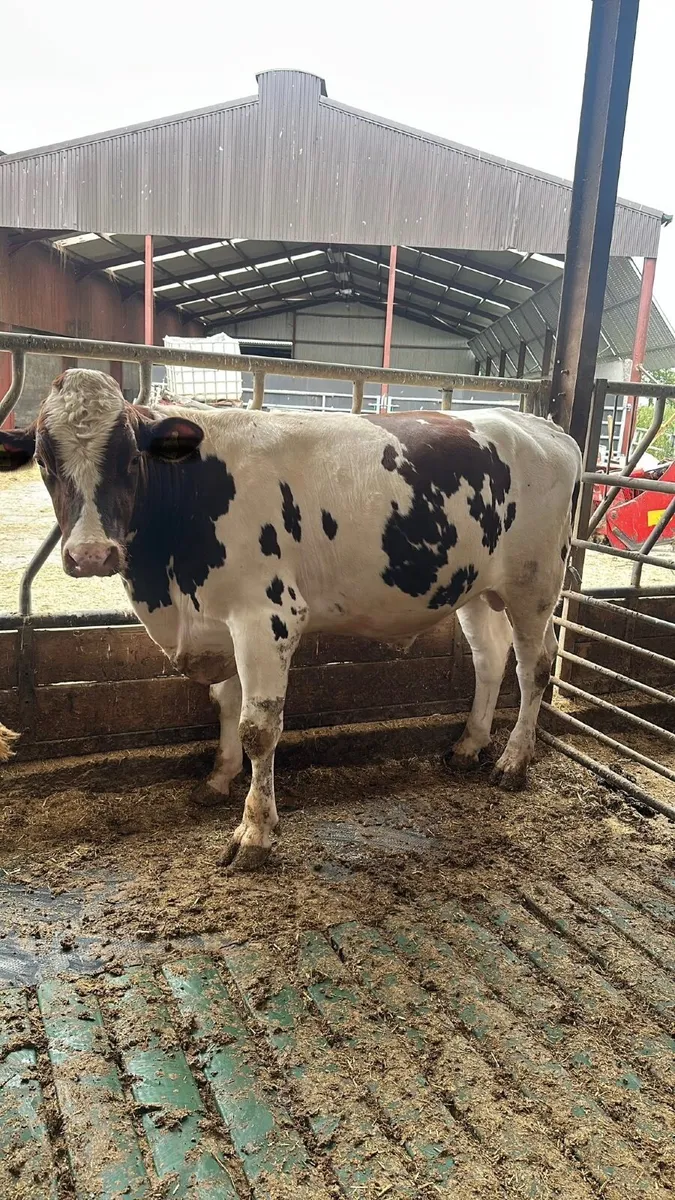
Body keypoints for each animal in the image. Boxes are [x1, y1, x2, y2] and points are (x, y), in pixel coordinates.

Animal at [1, 369, 581, 870]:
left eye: (128, 460)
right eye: (44, 461)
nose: (91, 554)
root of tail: (543, 427)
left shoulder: (267, 615)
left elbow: (258, 728)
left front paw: (254, 834)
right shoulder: (222, 622)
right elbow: (225, 703)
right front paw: (219, 778)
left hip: (535, 585)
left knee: (534, 668)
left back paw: (512, 763)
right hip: (477, 589)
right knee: (489, 660)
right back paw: (469, 746)